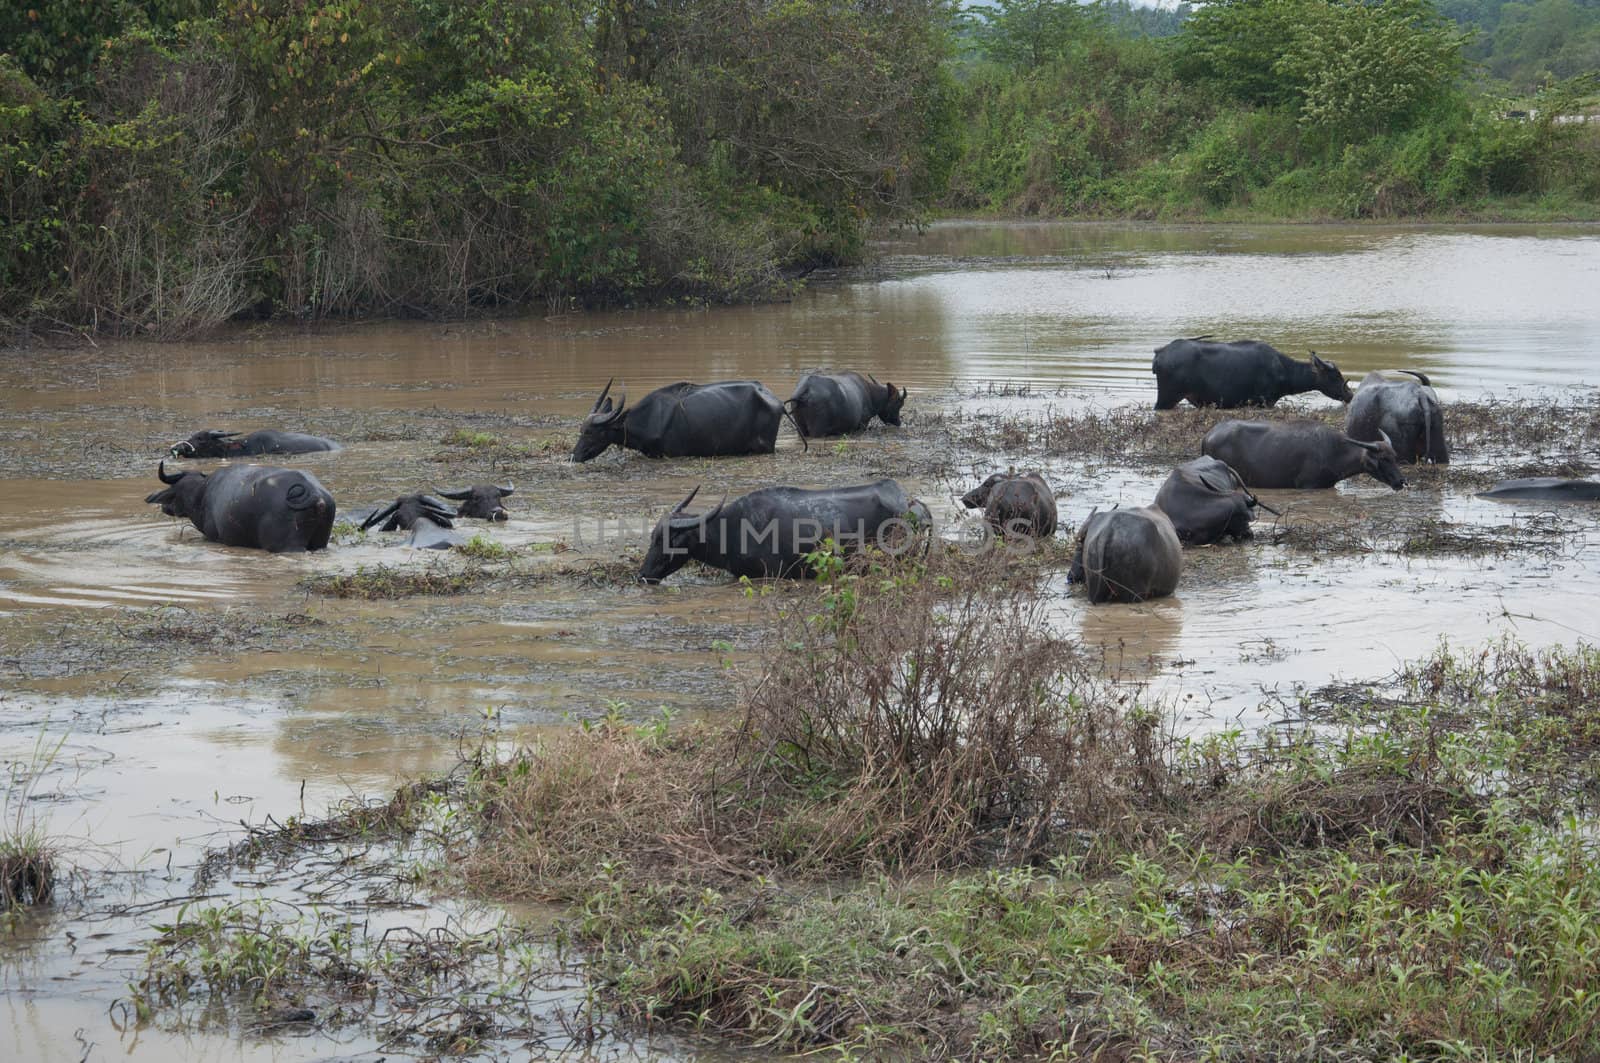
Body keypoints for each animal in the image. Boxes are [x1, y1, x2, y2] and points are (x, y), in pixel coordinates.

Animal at [144, 461, 334, 550]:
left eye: (176, 491)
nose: (164, 507)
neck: (202, 494)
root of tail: (316, 494)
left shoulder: (212, 537)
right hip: (320, 543)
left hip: (290, 546)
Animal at [1152, 337, 1350, 408]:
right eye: (1335, 375)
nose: (1350, 394)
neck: (1285, 371)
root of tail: (1160, 353)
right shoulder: (1265, 401)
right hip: (1167, 397)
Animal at [1203, 422, 1401, 493]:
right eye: (1384, 459)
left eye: (1395, 457)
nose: (1401, 481)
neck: (1335, 451)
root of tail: (1208, 435)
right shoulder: (1308, 485)